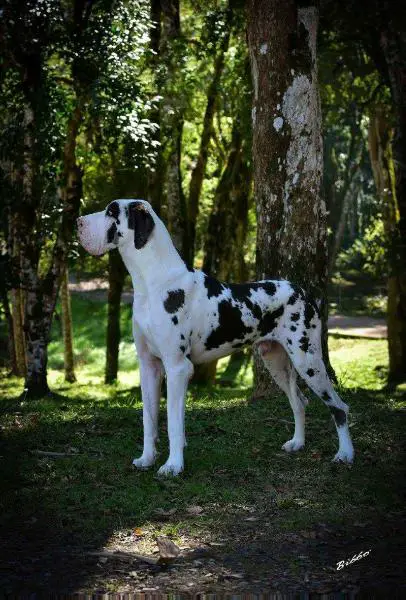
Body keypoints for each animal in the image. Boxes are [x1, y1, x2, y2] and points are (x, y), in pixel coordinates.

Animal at [77, 199, 354, 476]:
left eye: (111, 211)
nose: (78, 222)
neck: (156, 283)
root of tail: (304, 292)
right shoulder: (149, 367)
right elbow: (149, 420)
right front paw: (147, 458)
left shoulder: (177, 368)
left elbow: (173, 424)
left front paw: (173, 466)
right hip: (276, 361)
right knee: (299, 402)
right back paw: (297, 442)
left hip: (308, 360)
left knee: (339, 407)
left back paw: (345, 454)